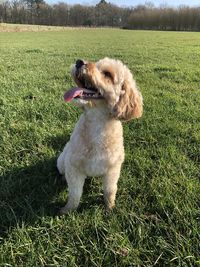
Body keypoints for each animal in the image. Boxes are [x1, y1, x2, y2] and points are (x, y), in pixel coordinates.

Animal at [57, 57, 143, 215]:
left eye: (107, 74)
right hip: (61, 161)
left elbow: (110, 190)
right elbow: (75, 193)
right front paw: (68, 209)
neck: (97, 123)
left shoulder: (113, 170)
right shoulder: (74, 168)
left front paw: (110, 207)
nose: (79, 62)